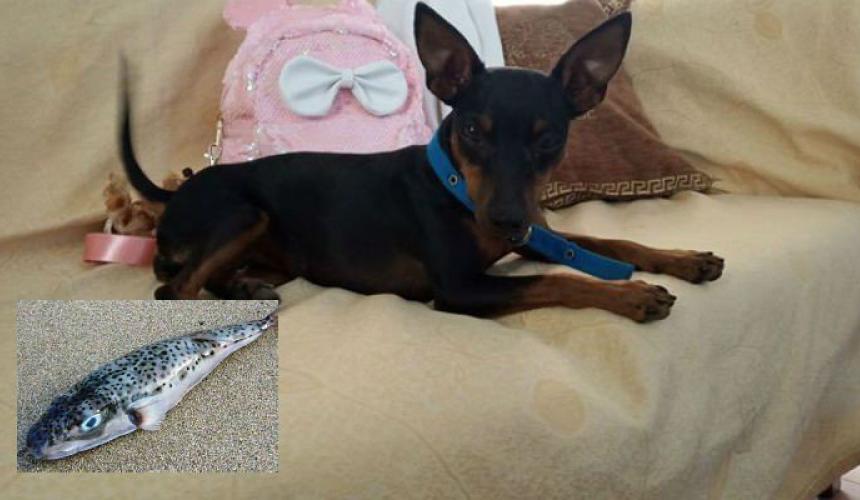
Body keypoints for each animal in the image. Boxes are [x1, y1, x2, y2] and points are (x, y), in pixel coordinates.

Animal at [121, 4, 723, 322]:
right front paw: (630, 294)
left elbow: (611, 242)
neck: (457, 188)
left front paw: (685, 259)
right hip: (245, 214)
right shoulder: (459, 288)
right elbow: (555, 282)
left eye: (549, 139)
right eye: (472, 130)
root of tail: (175, 192)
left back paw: (246, 289)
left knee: (206, 277)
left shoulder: (537, 234)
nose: (505, 220)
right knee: (172, 290)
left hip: (280, 253)